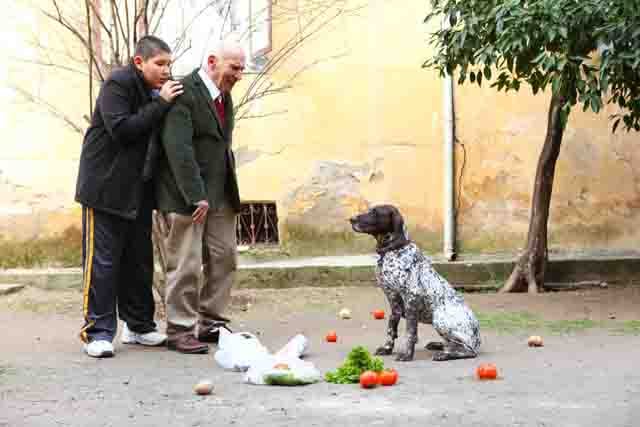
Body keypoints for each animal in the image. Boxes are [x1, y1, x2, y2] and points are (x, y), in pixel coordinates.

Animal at [350, 206, 480, 362]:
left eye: (375, 212)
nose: (351, 219)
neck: (392, 250)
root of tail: (477, 338)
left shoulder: (411, 298)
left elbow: (410, 332)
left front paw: (407, 355)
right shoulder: (394, 302)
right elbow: (391, 328)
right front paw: (387, 349)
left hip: (439, 318)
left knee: (468, 350)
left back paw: (445, 354)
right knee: (452, 344)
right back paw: (439, 346)